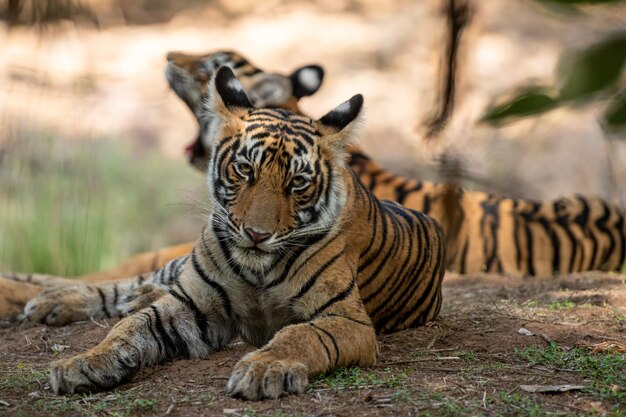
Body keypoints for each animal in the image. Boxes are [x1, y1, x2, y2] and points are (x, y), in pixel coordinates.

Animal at [44, 66, 444, 398]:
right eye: (244, 169)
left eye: (298, 183)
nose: (257, 234)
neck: (258, 270)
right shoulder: (192, 304)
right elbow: (128, 328)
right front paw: (82, 363)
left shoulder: (346, 319)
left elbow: (300, 334)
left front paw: (264, 369)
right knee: (135, 282)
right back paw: (54, 302)